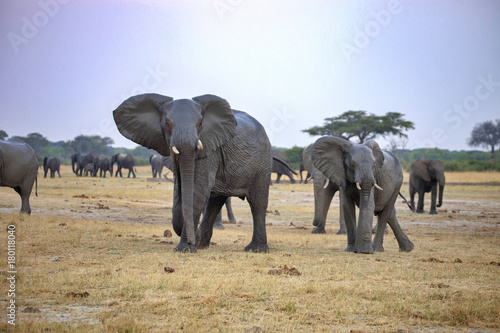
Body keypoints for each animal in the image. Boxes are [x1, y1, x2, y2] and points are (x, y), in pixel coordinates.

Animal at [112, 92, 292, 252]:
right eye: (167, 124)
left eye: (200, 124)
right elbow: (181, 191)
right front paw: (191, 241)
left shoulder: (209, 149)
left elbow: (196, 190)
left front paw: (185, 249)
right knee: (215, 202)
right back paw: (201, 244)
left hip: (262, 162)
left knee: (257, 202)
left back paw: (255, 250)